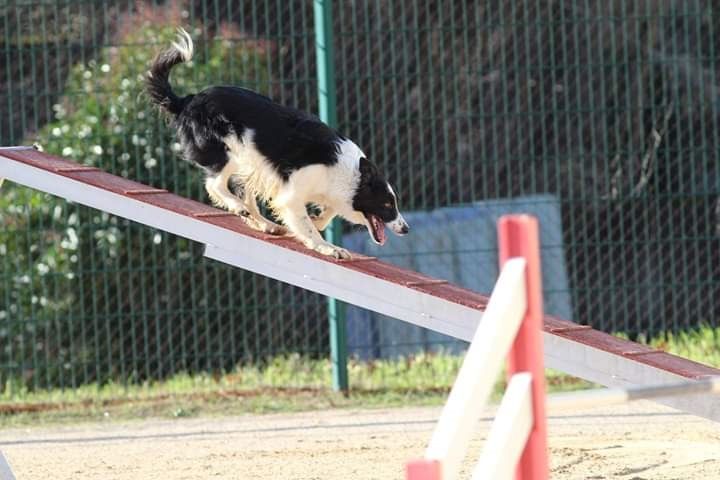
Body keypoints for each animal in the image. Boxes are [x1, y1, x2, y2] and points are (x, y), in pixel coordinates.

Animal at [145, 29, 410, 258]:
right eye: (388, 204)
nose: (406, 229)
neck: (349, 173)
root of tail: (187, 100)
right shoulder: (292, 193)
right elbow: (306, 224)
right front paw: (327, 247)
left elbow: (327, 212)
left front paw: (317, 220)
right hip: (231, 152)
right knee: (215, 184)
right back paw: (238, 207)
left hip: (251, 163)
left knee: (245, 196)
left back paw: (264, 224)